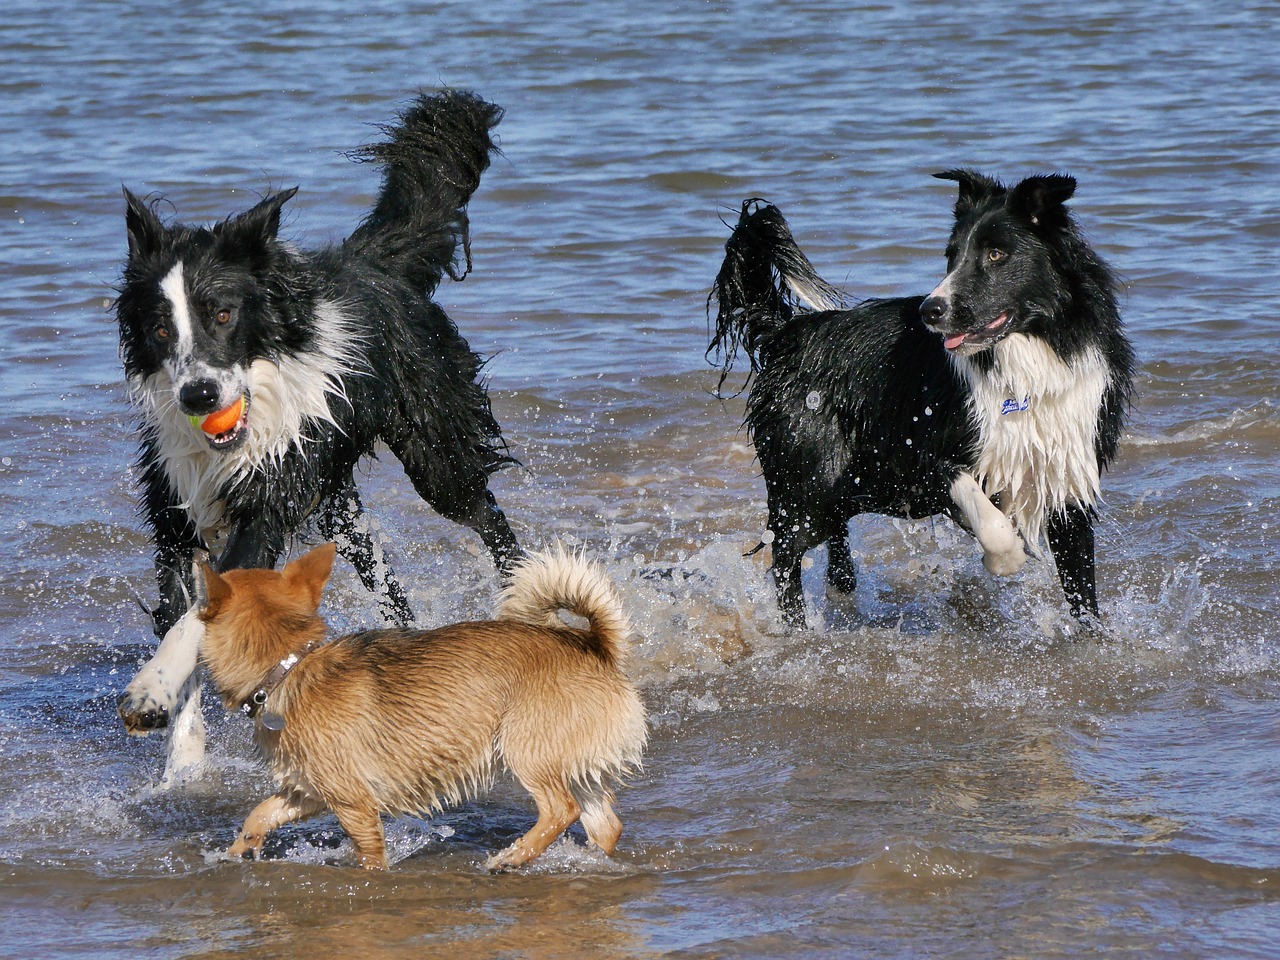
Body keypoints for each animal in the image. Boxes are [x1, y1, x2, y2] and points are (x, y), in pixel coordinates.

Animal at [116, 92, 524, 773]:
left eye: (222, 314)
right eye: (160, 329)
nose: (199, 395)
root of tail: (373, 261)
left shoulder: (266, 506)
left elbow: (197, 617)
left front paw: (151, 690)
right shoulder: (176, 512)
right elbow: (186, 610)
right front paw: (182, 758)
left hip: (435, 451)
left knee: (486, 514)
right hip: (338, 505)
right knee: (389, 583)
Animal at [195, 545, 650, 875]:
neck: (287, 668)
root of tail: (596, 646)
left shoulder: (353, 805)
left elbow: (368, 856)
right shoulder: (309, 791)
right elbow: (258, 815)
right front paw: (238, 851)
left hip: (527, 751)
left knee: (560, 810)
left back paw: (511, 858)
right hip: (578, 766)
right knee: (606, 825)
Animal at [711, 171, 1141, 632]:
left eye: (996, 254)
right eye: (951, 256)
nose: (929, 310)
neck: (1024, 368)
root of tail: (785, 333)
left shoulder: (1066, 481)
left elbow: (1082, 591)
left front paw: (1092, 637)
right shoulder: (918, 459)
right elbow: (993, 523)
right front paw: (1001, 560)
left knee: (832, 538)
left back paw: (842, 597)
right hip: (808, 477)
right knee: (786, 555)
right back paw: (799, 631)